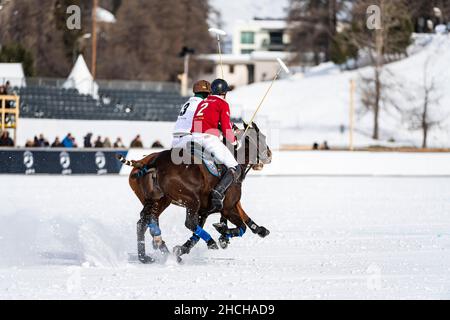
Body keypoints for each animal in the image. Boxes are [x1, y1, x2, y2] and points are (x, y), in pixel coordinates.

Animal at [119, 122, 272, 262]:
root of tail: (149, 162)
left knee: (144, 221)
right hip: (190, 199)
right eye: (262, 137)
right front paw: (223, 235)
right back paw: (208, 241)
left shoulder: (204, 211)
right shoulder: (227, 207)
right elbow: (241, 227)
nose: (269, 155)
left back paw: (147, 255)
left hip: (158, 200)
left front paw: (181, 249)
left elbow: (196, 235)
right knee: (186, 223)